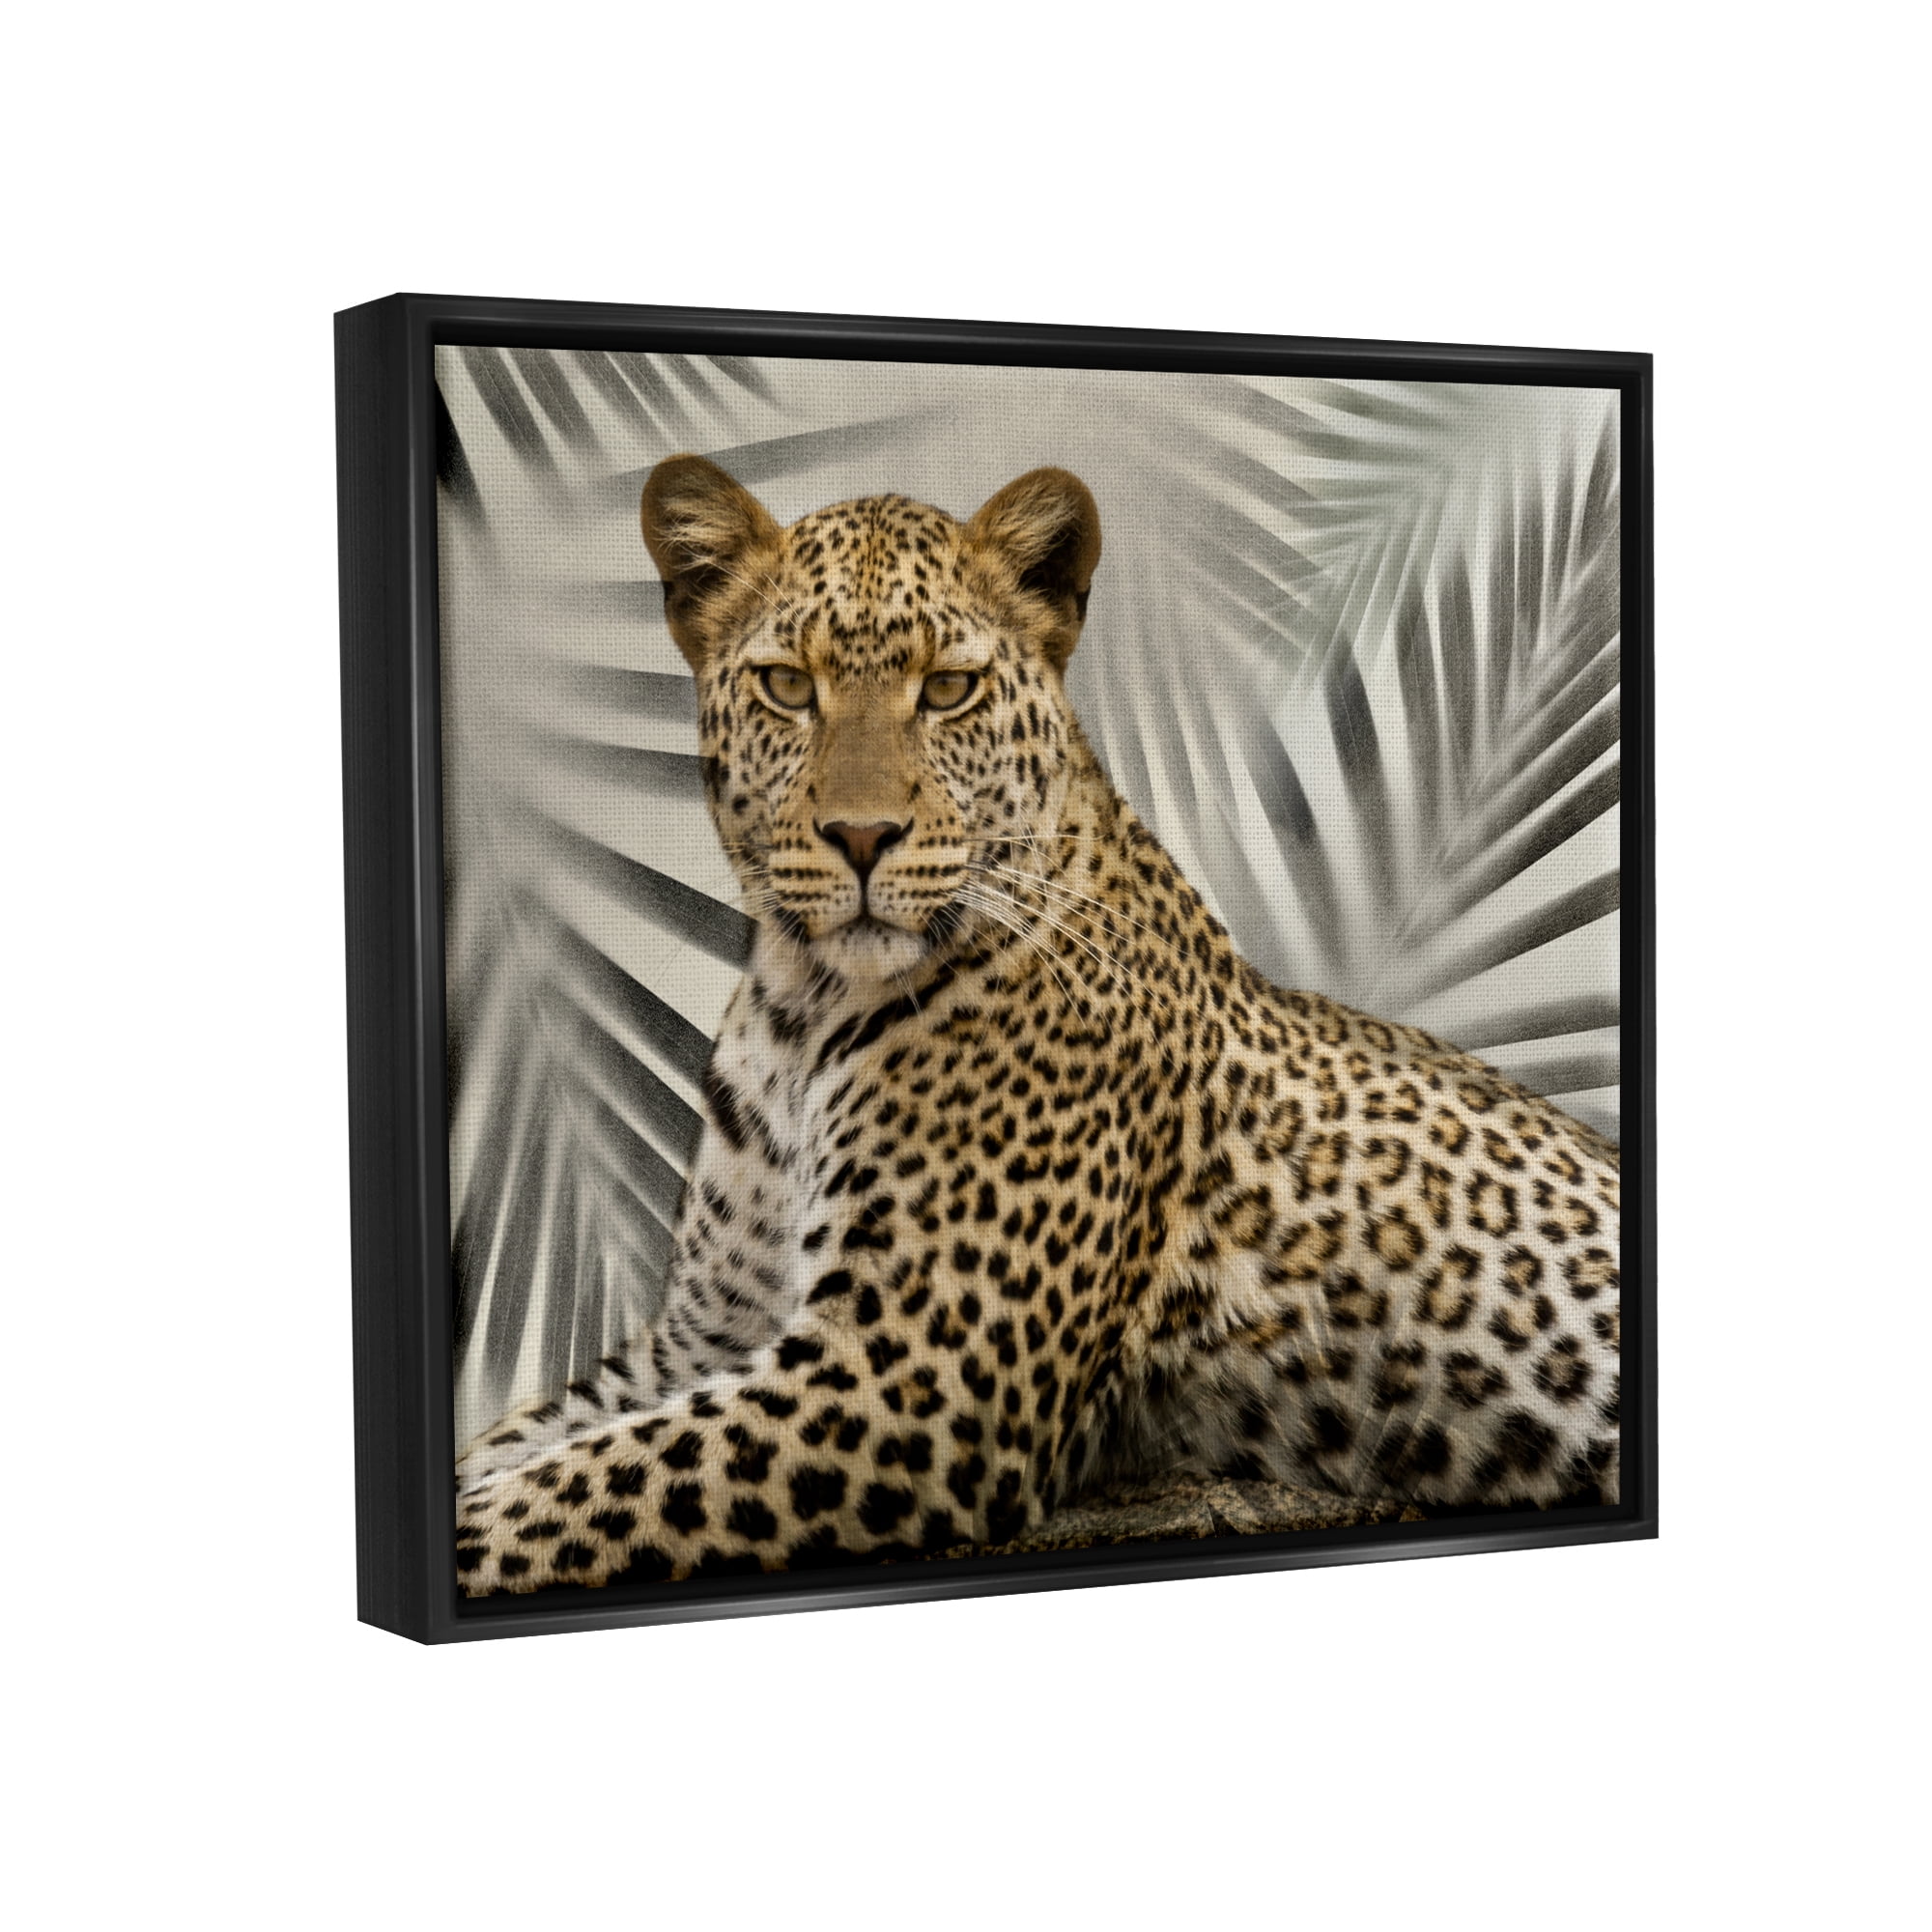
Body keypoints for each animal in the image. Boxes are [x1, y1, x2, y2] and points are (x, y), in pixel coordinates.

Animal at [453, 454, 1622, 1594]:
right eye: (788, 686)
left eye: (948, 689)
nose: (861, 837)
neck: (799, 1008)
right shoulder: (701, 1338)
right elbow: (526, 1443)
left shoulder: (906, 1376)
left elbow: (559, 1496)